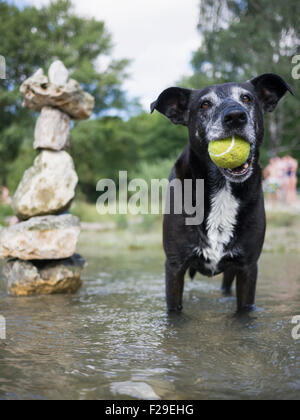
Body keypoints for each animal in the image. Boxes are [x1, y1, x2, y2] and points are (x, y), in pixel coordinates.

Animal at [151, 74, 294, 314]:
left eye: (246, 98)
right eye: (204, 104)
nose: (235, 116)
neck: (222, 188)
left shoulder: (247, 267)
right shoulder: (174, 266)